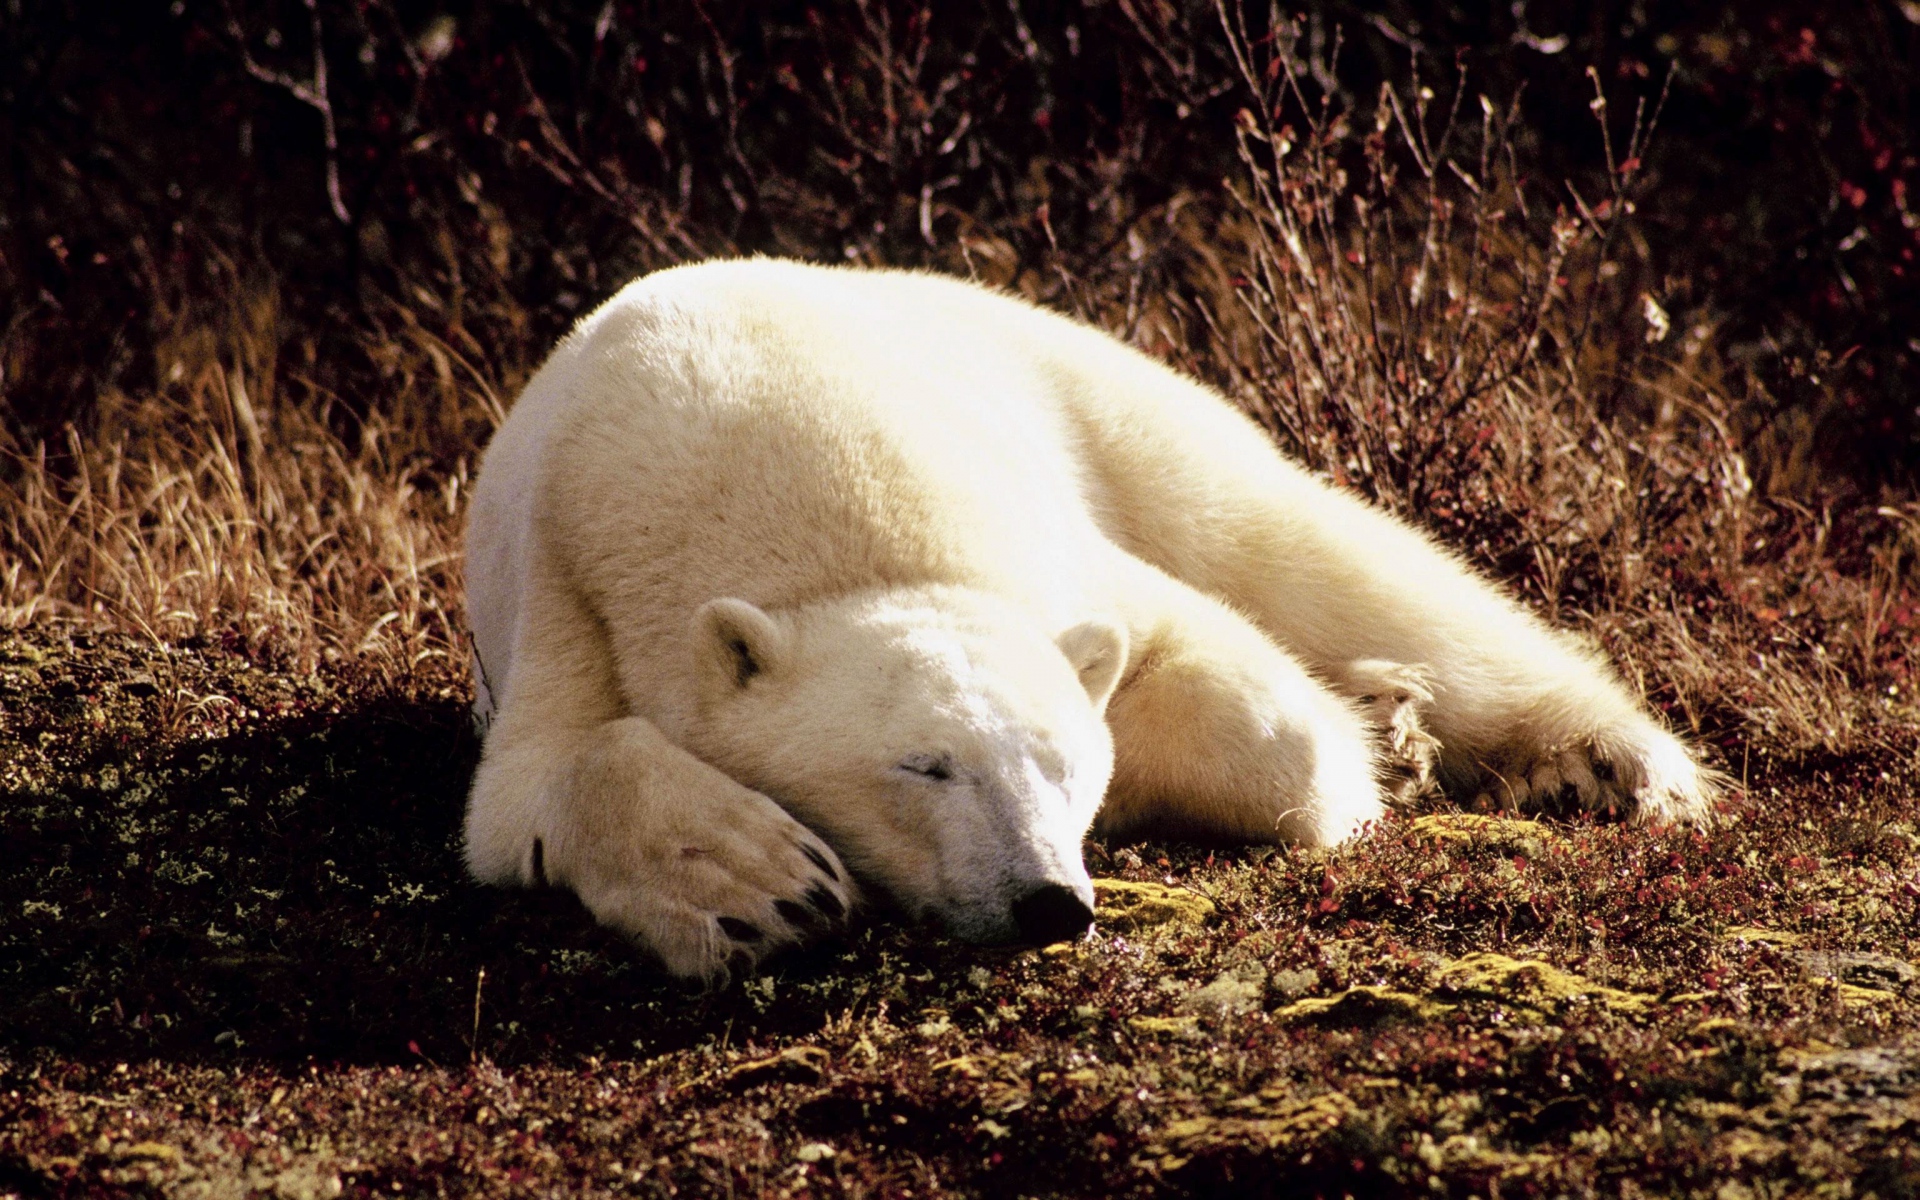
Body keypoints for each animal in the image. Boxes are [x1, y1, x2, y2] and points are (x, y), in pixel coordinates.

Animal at [463, 257, 1716, 980]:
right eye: (924, 766)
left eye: (1064, 762)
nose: (1047, 902)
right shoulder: (577, 583)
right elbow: (533, 785)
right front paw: (758, 879)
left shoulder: (1047, 540)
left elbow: (1248, 702)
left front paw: (1365, 752)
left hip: (1100, 395)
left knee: (1309, 550)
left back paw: (1604, 761)